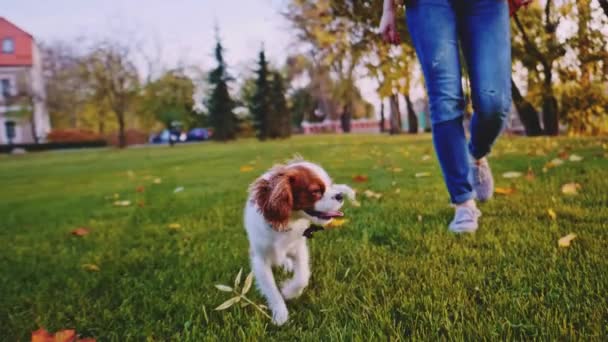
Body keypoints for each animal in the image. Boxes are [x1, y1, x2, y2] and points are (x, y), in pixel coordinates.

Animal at [245, 159, 354, 324]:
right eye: (316, 191)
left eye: (330, 185)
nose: (340, 195)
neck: (286, 224)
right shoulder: (260, 260)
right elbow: (271, 289)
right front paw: (280, 313)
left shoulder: (299, 248)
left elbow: (302, 277)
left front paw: (289, 292)